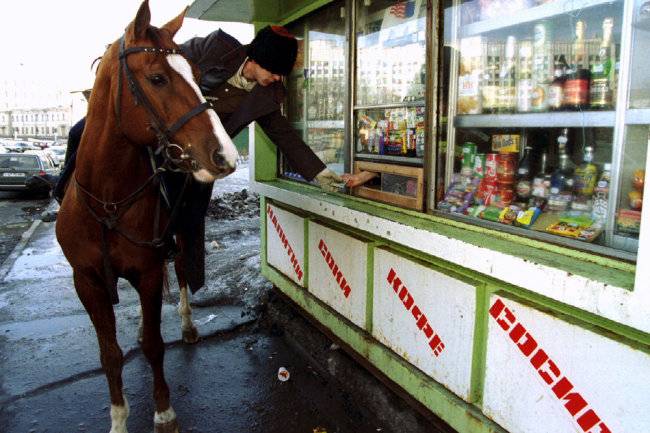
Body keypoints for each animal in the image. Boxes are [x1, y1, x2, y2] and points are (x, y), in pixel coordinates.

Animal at [53, 1, 235, 430]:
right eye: (157, 78)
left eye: (198, 76)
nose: (225, 156)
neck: (109, 200)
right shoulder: (87, 281)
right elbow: (110, 354)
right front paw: (119, 418)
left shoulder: (150, 272)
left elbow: (155, 345)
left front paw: (163, 410)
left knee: (182, 274)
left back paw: (187, 324)